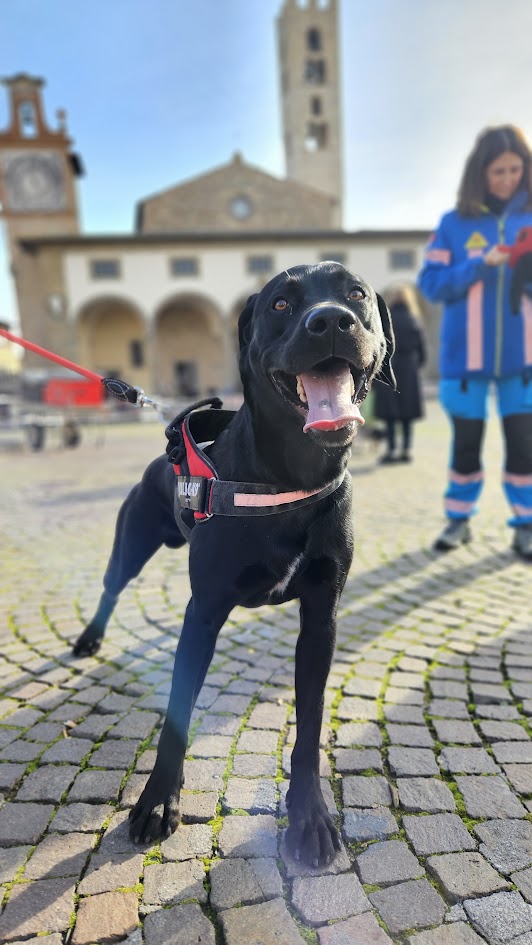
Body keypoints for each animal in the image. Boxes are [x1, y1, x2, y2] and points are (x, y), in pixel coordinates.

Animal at [73, 261, 395, 867]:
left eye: (356, 294)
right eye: (280, 304)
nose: (332, 321)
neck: (291, 477)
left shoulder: (321, 619)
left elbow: (310, 725)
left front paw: (309, 816)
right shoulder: (202, 613)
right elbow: (176, 716)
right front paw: (158, 801)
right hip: (131, 544)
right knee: (110, 587)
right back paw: (89, 638)